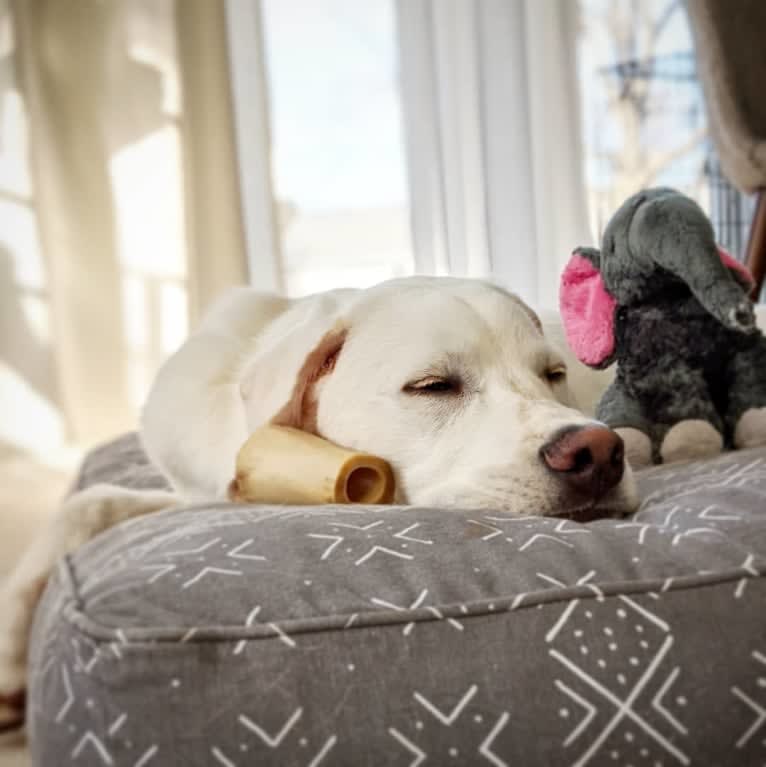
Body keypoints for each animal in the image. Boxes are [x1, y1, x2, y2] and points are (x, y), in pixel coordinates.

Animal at [0, 274, 636, 728]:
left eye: (553, 374)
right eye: (433, 386)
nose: (598, 452)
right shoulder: (205, 493)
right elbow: (89, 502)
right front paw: (9, 653)